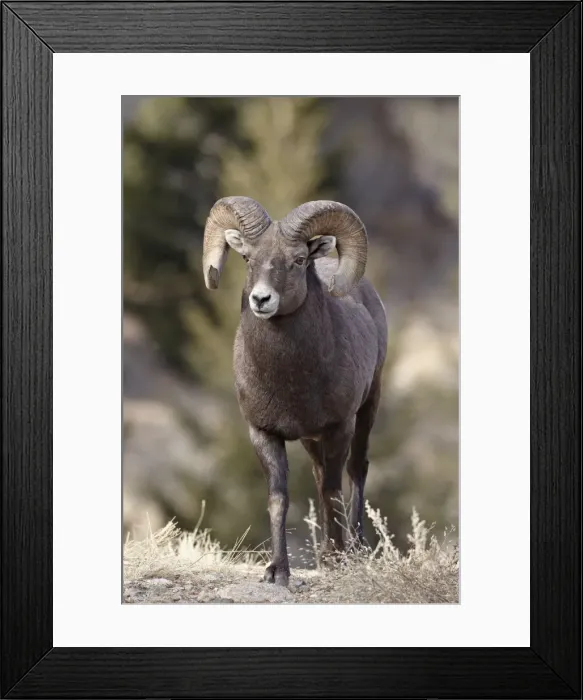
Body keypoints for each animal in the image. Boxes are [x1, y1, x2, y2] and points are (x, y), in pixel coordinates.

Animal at [202, 197, 387, 586]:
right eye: (247, 258)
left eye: (299, 260)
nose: (261, 300)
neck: (290, 379)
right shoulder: (264, 433)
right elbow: (279, 498)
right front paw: (277, 571)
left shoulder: (339, 428)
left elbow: (333, 491)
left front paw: (339, 560)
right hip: (310, 440)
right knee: (319, 475)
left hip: (368, 408)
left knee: (356, 470)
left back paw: (355, 550)